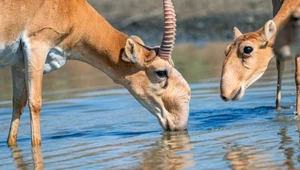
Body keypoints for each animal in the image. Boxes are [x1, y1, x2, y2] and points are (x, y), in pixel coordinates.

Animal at [0, 0, 191, 146]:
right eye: (161, 72)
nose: (180, 122)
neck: (69, 9)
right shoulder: (36, 47)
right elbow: (35, 103)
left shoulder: (18, 64)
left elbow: (18, 103)